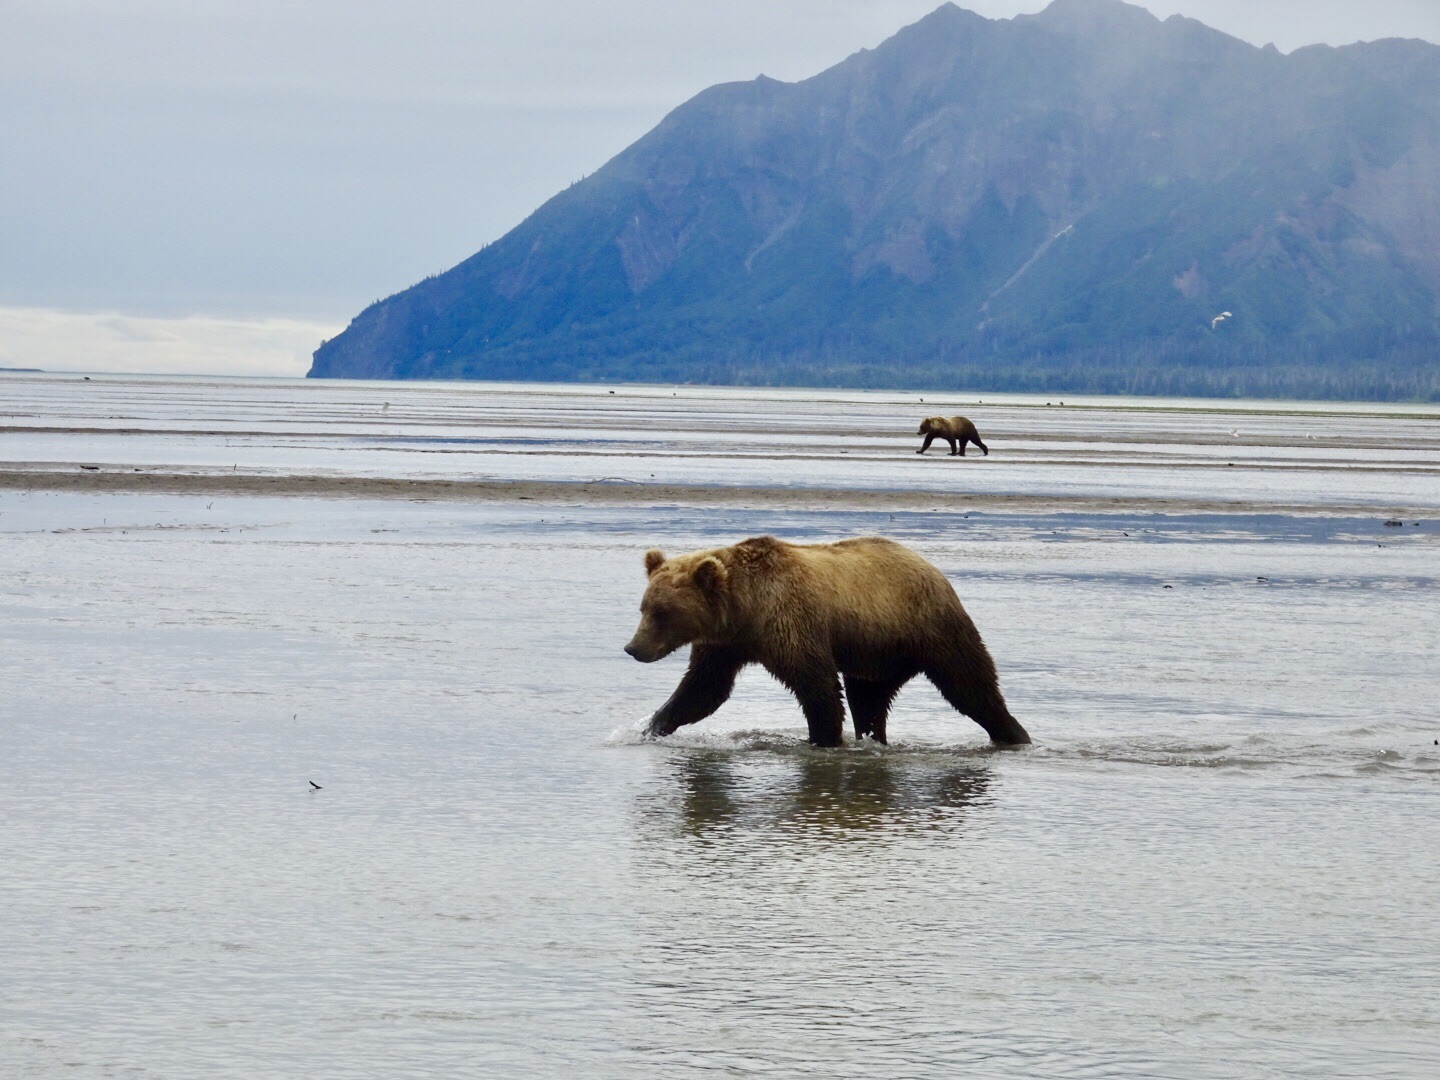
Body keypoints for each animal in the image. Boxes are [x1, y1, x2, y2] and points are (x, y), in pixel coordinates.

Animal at [624, 535, 1031, 754]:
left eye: (662, 613)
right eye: (644, 607)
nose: (633, 648)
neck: (747, 608)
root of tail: (933, 569)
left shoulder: (791, 625)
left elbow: (817, 688)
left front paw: (823, 741)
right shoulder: (725, 644)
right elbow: (703, 690)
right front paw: (648, 728)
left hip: (929, 628)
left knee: (970, 684)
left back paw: (1015, 734)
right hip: (874, 653)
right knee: (869, 699)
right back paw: (874, 739)